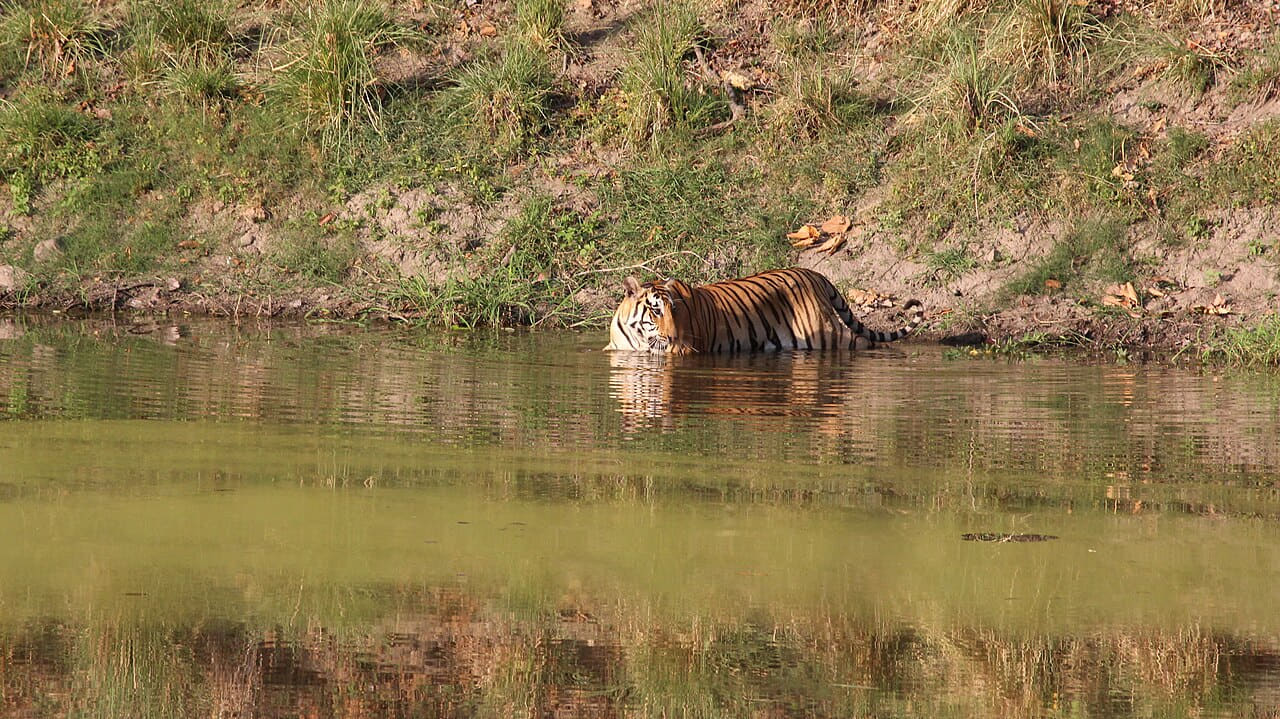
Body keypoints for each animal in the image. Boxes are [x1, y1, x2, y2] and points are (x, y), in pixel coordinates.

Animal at [604, 267, 924, 354]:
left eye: (675, 312)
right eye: (657, 311)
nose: (671, 337)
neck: (639, 336)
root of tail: (815, 272)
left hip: (824, 333)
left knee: (864, 341)